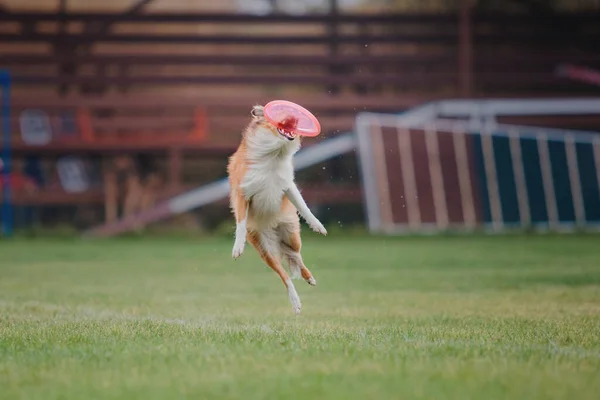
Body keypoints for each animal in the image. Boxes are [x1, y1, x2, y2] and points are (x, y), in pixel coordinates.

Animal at [226, 104, 328, 316]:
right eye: (280, 111)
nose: (295, 120)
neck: (273, 153)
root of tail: (274, 234)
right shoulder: (242, 192)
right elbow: (240, 222)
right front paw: (237, 247)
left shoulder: (288, 185)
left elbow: (303, 206)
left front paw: (317, 225)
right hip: (266, 250)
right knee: (284, 275)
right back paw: (295, 302)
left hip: (292, 235)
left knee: (296, 255)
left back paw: (309, 277)